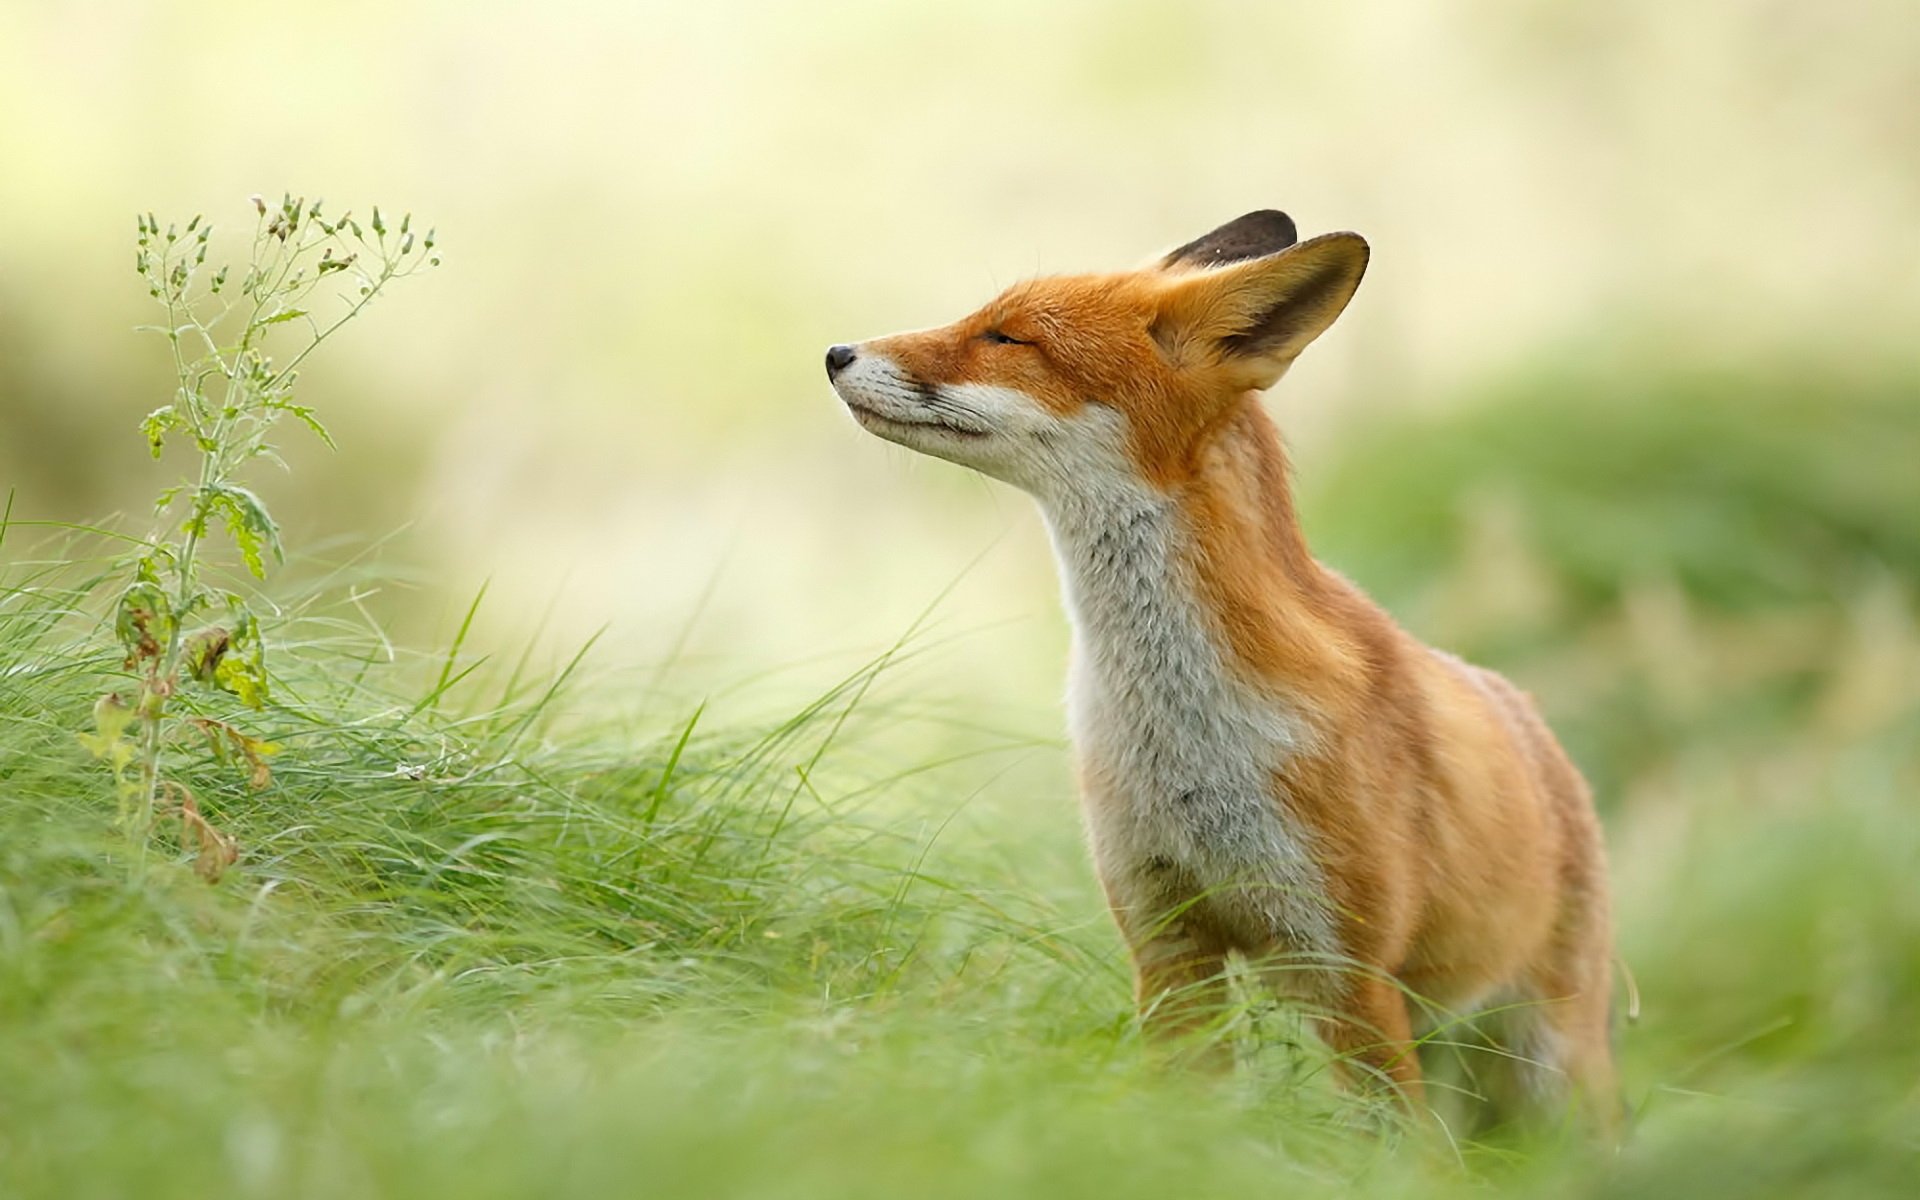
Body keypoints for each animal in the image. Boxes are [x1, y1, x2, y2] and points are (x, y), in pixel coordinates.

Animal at [824, 211, 1615, 1129]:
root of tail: (1541, 729)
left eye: (1008, 337)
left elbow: (1395, 1144)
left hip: (1551, 1064)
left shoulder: (1348, 970)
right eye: (984, 319)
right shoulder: (1166, 939)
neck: (1183, 735)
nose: (836, 352)